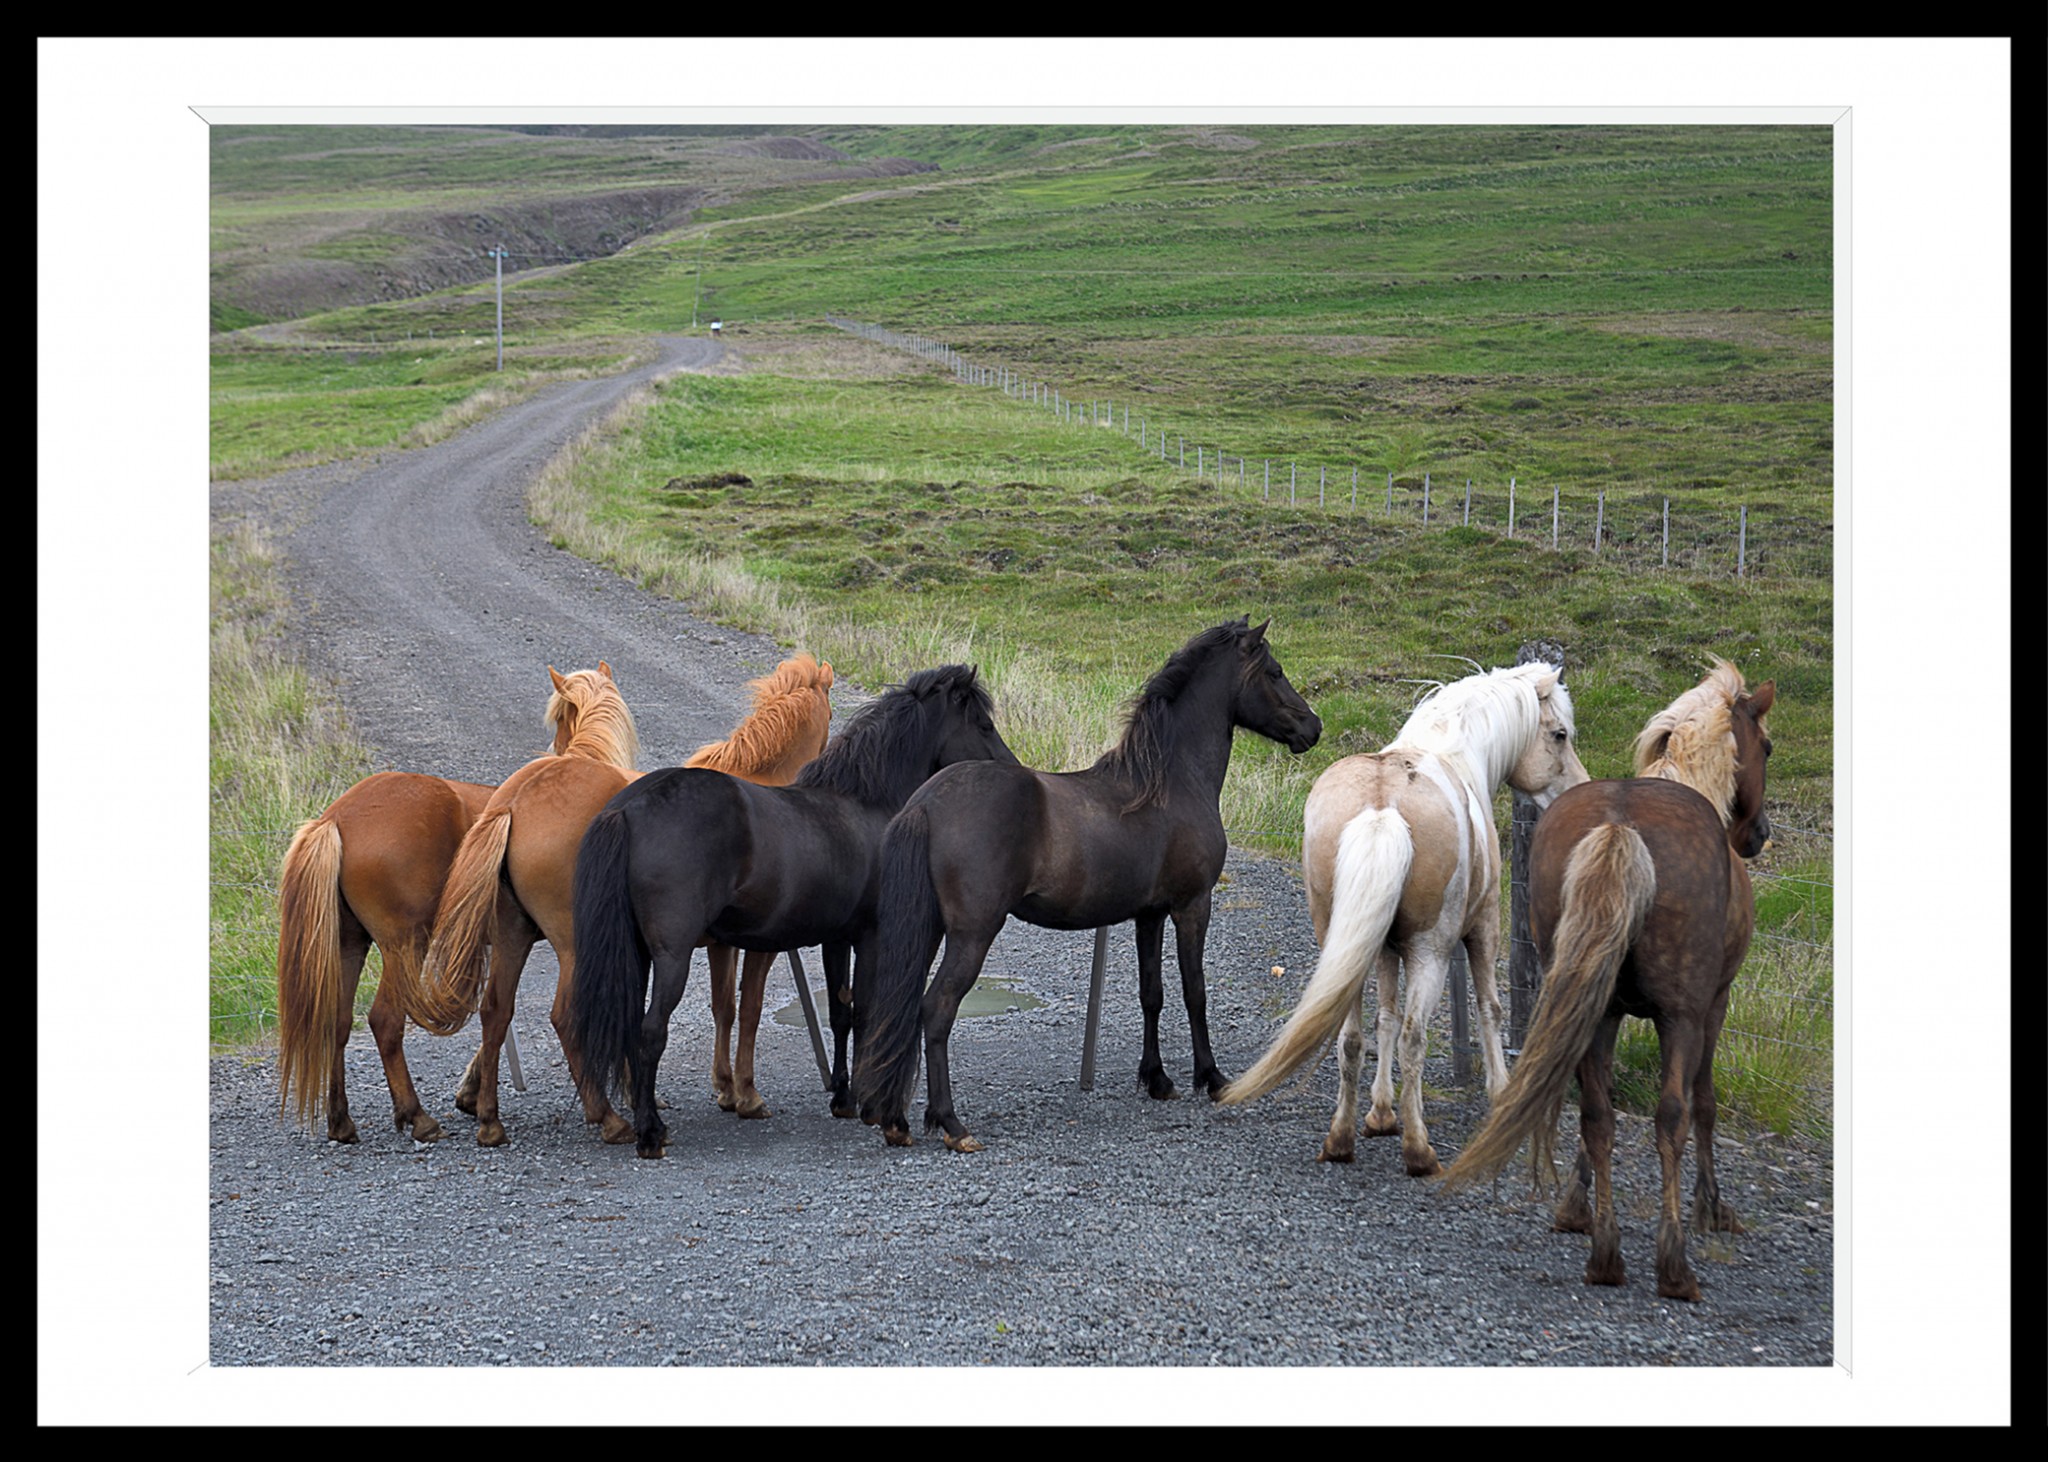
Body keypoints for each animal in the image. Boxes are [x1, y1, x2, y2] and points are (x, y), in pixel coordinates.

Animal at [272, 667, 585, 1146]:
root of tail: (336, 817)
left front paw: (472, 1095)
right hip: (403, 947)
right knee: (385, 1021)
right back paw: (417, 1117)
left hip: (351, 944)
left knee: (338, 1024)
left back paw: (341, 1121)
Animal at [573, 659, 1019, 1146]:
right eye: (984, 724)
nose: (1014, 772)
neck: (865, 803)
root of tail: (627, 807)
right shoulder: (871, 937)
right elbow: (865, 1012)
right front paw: (871, 1106)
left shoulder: (837, 939)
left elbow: (841, 1012)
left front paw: (843, 1097)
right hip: (672, 955)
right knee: (650, 1031)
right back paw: (651, 1131)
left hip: (636, 951)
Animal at [851, 614, 1327, 1146]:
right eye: (1274, 671)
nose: (1313, 727)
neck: (1170, 781)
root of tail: (927, 802)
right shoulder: (1192, 905)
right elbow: (1195, 990)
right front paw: (1212, 1077)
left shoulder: (1149, 914)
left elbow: (1152, 993)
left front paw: (1157, 1079)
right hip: (972, 934)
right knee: (936, 1009)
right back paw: (951, 1121)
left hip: (931, 929)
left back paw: (896, 1118)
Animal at [1220, 659, 1589, 1171]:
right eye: (1559, 734)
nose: (1578, 790)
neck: (1456, 753)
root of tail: (1381, 810)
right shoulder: (1484, 928)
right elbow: (1488, 1010)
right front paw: (1498, 1094)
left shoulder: (1381, 948)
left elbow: (1385, 1021)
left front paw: (1380, 1113)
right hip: (1430, 952)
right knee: (1416, 1037)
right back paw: (1419, 1151)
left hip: (1344, 947)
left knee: (1351, 1037)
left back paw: (1341, 1140)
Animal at [1441, 651, 1777, 1302]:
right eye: (1767, 746)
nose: (1759, 835)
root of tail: (1620, 827)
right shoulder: (1712, 1005)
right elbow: (1703, 1103)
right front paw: (1711, 1207)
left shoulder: (1602, 1007)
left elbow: (1598, 1107)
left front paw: (1575, 1205)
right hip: (1681, 1016)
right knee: (1671, 1116)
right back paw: (1672, 1264)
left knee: (1596, 1113)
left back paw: (1605, 1253)